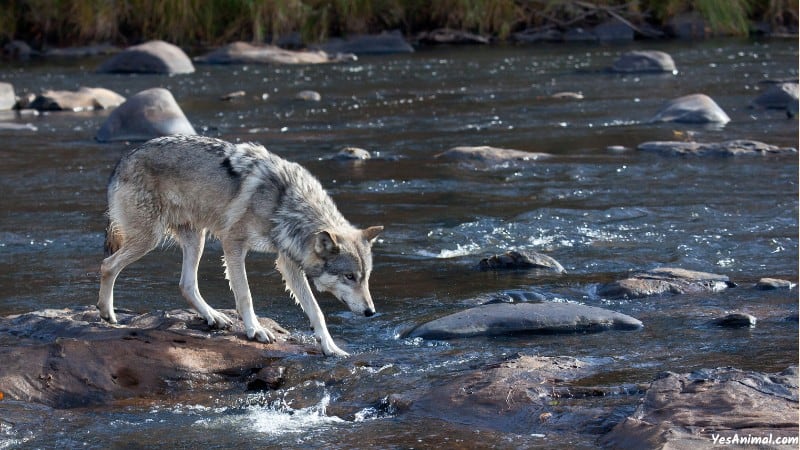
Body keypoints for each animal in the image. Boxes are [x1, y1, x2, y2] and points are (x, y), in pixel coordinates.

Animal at [97, 134, 384, 356]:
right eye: (349, 276)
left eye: (366, 277)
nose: (371, 312)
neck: (284, 203)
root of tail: (123, 160)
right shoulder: (233, 244)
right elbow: (245, 294)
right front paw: (255, 330)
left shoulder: (288, 263)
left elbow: (316, 311)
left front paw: (330, 347)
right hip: (150, 239)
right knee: (107, 265)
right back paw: (107, 314)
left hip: (196, 239)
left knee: (186, 284)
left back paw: (214, 317)